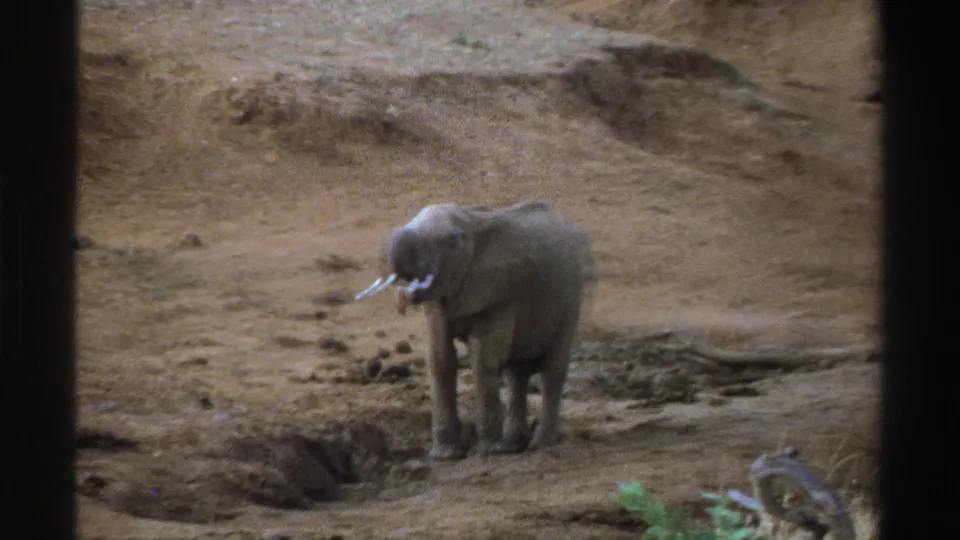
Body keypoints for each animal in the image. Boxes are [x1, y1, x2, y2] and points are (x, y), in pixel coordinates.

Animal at [356, 201, 594, 462]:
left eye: (451, 242)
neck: (472, 223)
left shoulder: (501, 288)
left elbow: (483, 359)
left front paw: (492, 452)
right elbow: (439, 360)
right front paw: (444, 456)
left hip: (571, 300)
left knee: (552, 370)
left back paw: (540, 445)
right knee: (516, 374)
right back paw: (516, 442)